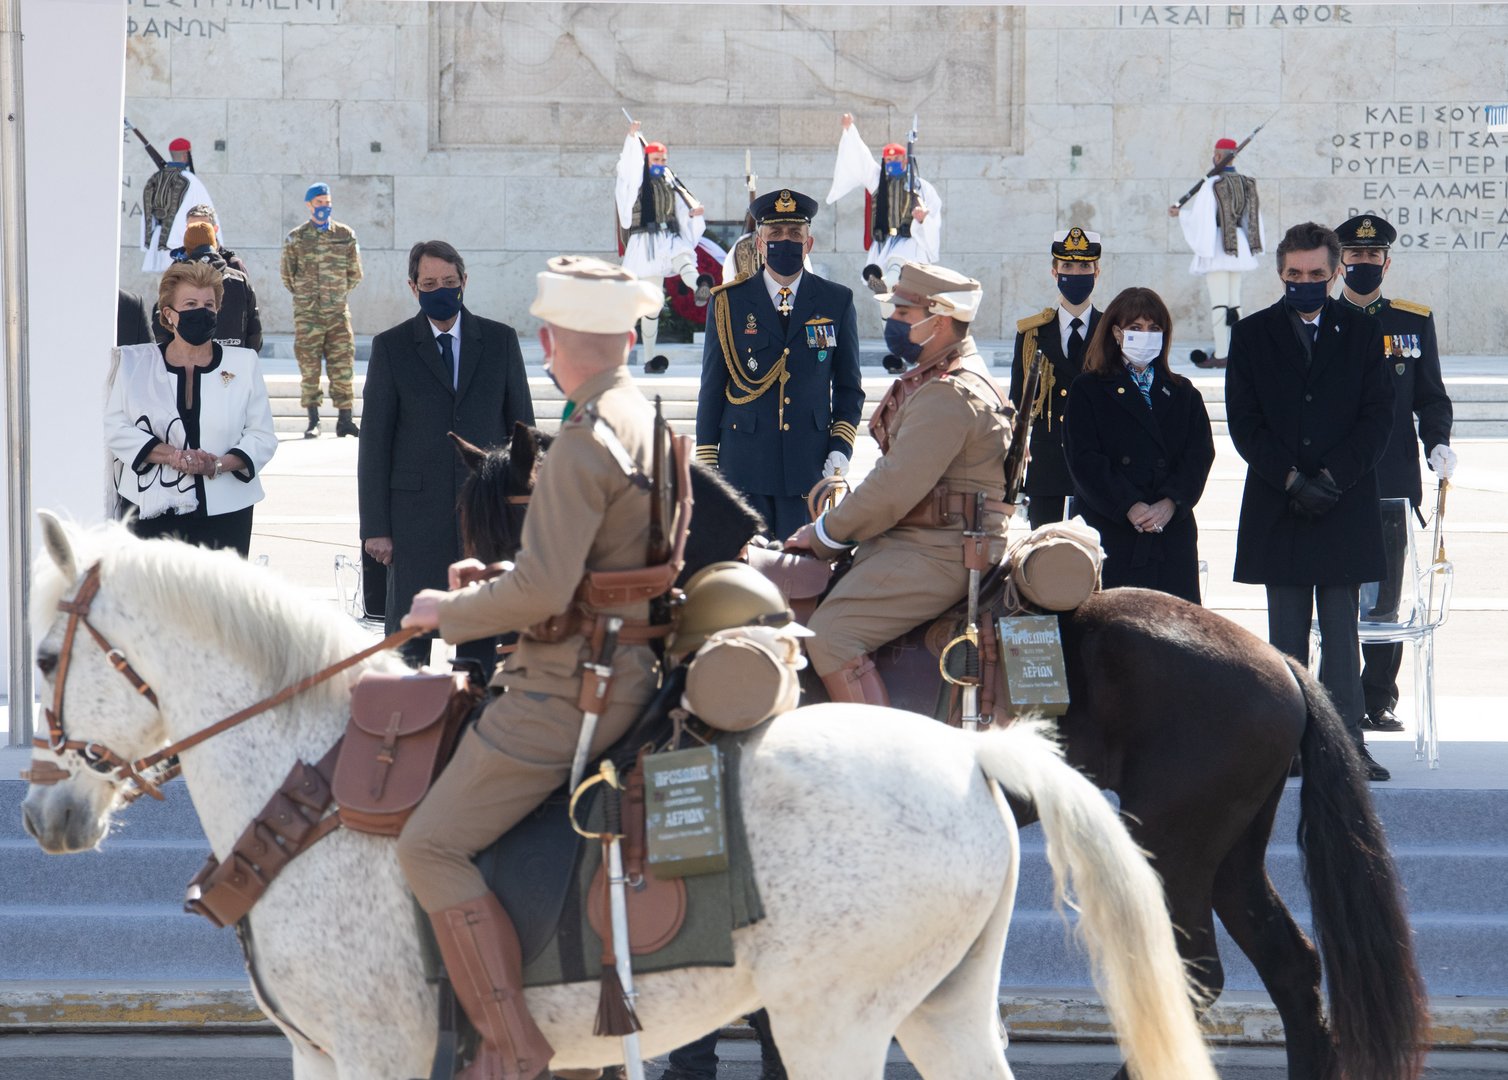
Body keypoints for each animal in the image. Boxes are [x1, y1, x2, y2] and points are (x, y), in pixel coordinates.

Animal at [20, 515, 1212, 1080]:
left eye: (40, 659)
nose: (41, 815)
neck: (307, 776)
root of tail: (972, 757)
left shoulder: (377, 1052)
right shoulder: (324, 1059)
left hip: (832, 1020)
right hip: (942, 1008)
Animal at [446, 425, 1423, 1080]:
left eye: (517, 521)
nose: (477, 658)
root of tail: (1280, 659)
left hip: (1178, 846)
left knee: (1199, 977)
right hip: (1228, 852)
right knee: (1293, 971)